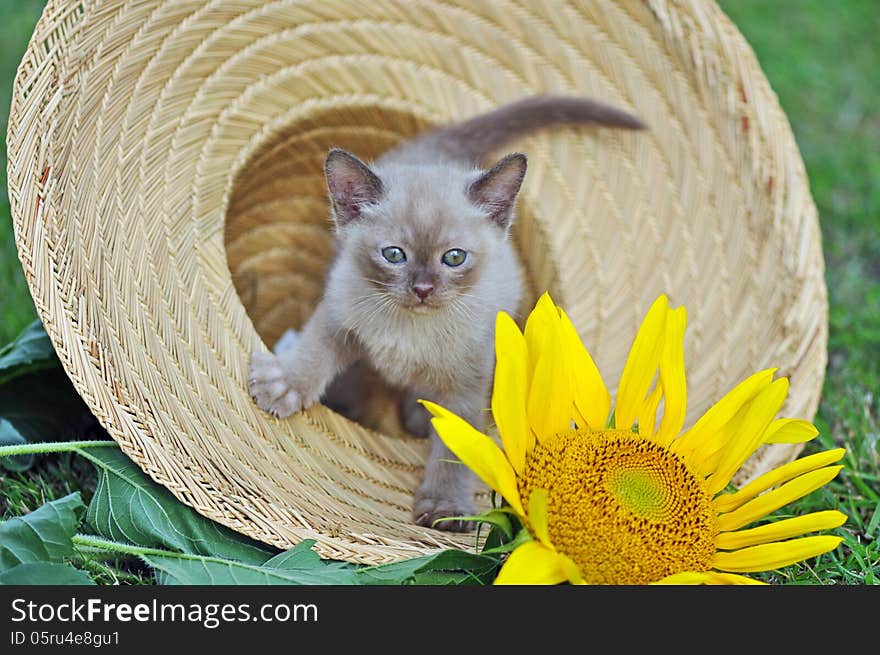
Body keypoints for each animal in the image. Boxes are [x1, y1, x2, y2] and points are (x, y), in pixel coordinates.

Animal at [251, 93, 644, 532]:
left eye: (454, 258)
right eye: (394, 255)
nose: (423, 289)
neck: (412, 330)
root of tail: (442, 152)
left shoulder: (466, 387)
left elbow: (455, 451)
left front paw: (446, 508)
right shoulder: (341, 311)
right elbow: (315, 350)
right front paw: (284, 385)